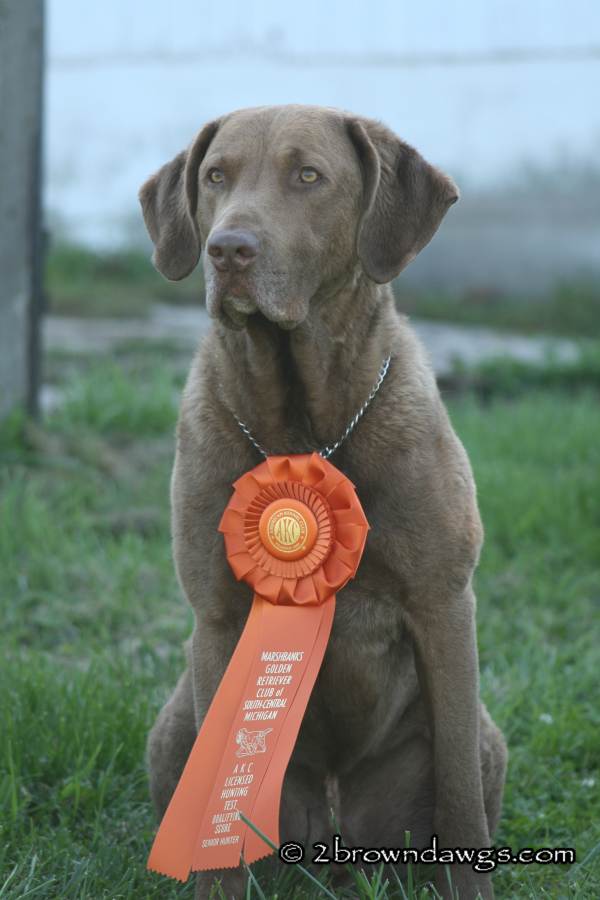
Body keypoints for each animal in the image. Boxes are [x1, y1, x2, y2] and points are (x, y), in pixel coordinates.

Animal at [139, 104, 507, 900]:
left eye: (308, 176)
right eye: (215, 177)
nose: (226, 249)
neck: (306, 425)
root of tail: (338, 830)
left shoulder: (442, 602)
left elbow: (459, 801)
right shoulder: (219, 616)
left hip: (485, 736)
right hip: (174, 724)